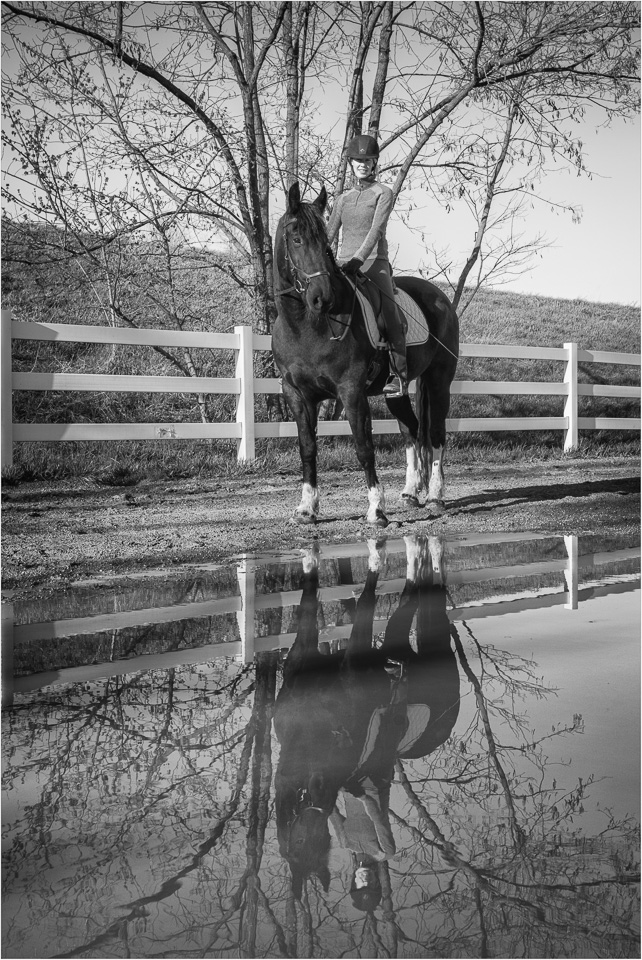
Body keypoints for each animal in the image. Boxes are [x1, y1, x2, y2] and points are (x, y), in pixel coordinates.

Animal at [272, 180, 458, 524]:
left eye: (326, 245)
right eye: (297, 238)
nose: (322, 298)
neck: (307, 325)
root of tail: (440, 297)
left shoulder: (351, 391)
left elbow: (363, 447)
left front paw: (376, 509)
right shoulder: (296, 394)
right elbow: (307, 449)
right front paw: (306, 508)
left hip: (439, 381)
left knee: (436, 433)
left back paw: (435, 497)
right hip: (396, 391)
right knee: (412, 430)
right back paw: (410, 493)